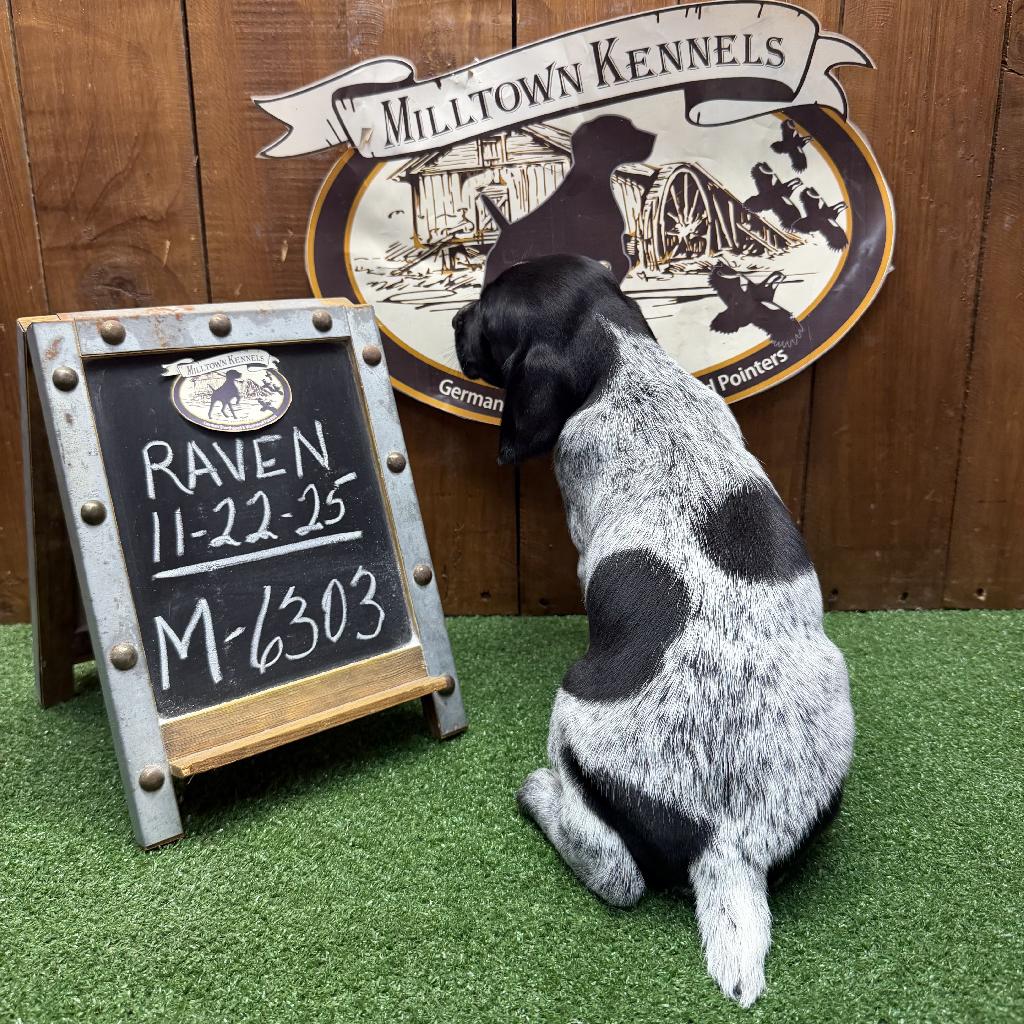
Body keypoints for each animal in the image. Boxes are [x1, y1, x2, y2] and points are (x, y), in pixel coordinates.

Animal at [453, 254, 854, 1007]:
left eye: (486, 315)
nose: (458, 317)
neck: (627, 369)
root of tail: (727, 847)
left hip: (570, 718)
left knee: (616, 871)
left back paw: (540, 797)